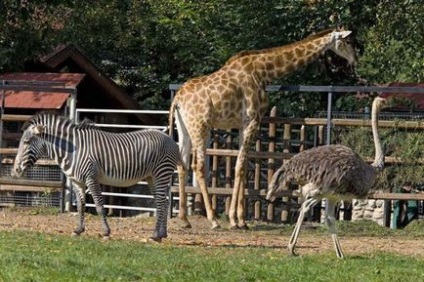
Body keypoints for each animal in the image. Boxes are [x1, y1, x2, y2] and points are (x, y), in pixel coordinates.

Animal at [11, 112, 182, 240]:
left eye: (26, 142)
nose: (15, 171)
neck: (72, 150)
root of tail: (170, 139)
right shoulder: (77, 182)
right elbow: (81, 206)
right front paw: (78, 230)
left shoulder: (91, 178)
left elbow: (99, 205)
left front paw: (106, 232)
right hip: (151, 177)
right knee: (164, 202)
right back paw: (163, 234)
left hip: (161, 173)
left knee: (160, 202)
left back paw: (155, 235)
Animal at [169, 27, 358, 229]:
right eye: (348, 41)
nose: (354, 61)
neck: (264, 72)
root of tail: (177, 99)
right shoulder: (252, 119)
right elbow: (240, 166)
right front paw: (235, 220)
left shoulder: (244, 124)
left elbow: (243, 166)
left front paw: (241, 220)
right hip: (200, 126)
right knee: (198, 166)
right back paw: (213, 220)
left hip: (184, 128)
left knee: (182, 164)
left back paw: (184, 219)